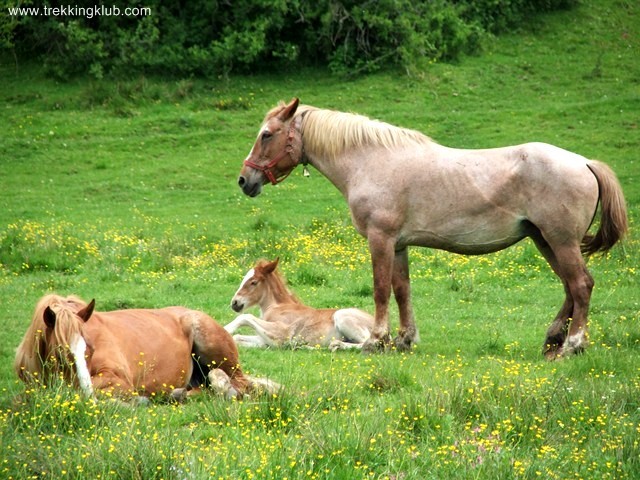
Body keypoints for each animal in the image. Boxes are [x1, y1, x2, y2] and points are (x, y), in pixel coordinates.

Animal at [14, 294, 280, 404]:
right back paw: (178, 394)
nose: (89, 395)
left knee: (238, 384)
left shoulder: (118, 380)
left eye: (89, 348)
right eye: (60, 352)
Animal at [226, 258, 372, 348]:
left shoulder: (283, 332)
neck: (278, 307)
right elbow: (237, 338)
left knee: (369, 343)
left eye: (253, 282)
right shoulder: (267, 340)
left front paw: (227, 329)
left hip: (342, 316)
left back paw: (336, 345)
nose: (235, 303)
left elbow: (246, 317)